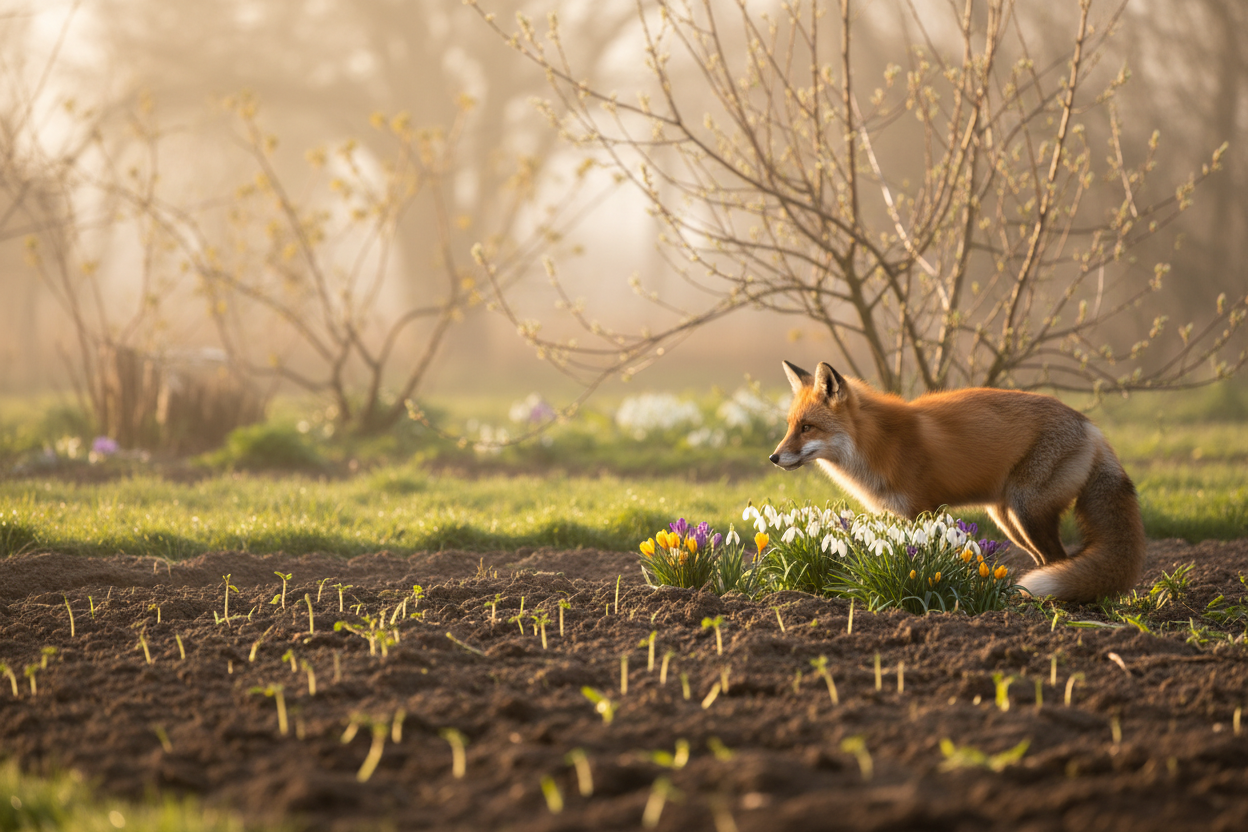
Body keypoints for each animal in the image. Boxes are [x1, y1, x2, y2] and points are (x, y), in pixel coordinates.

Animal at [769, 360, 1145, 603]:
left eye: (807, 428)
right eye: (790, 426)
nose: (774, 457)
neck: (876, 443)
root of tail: (1090, 426)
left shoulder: (922, 510)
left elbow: (920, 562)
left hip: (1027, 510)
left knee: (1056, 557)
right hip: (1009, 519)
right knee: (1046, 560)